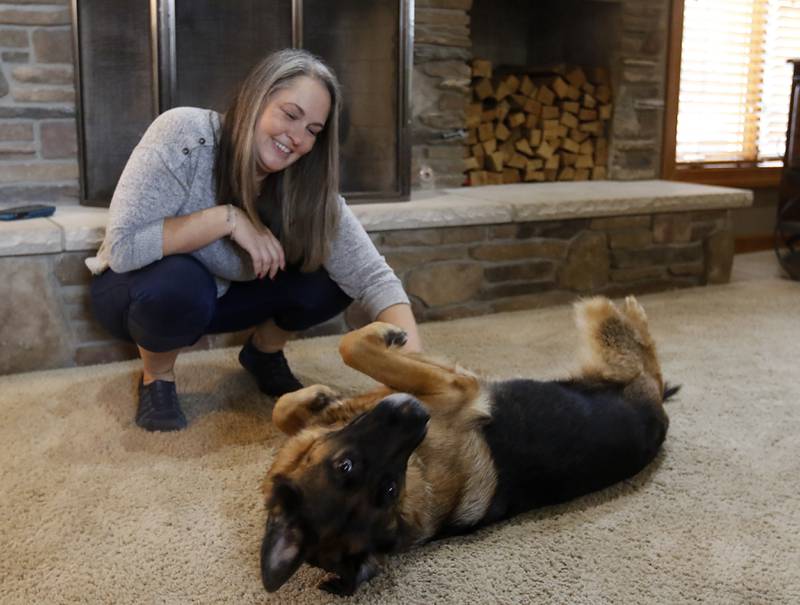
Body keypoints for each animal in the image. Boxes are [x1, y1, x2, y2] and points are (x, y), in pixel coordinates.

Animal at [260, 298, 672, 596]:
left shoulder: (446, 386)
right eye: (348, 467)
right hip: (614, 360)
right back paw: (625, 308)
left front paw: (317, 397)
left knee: (645, 354)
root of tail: (660, 413)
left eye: (388, 487)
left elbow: (299, 398)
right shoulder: (449, 386)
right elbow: (353, 351)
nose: (418, 412)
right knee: (642, 352)